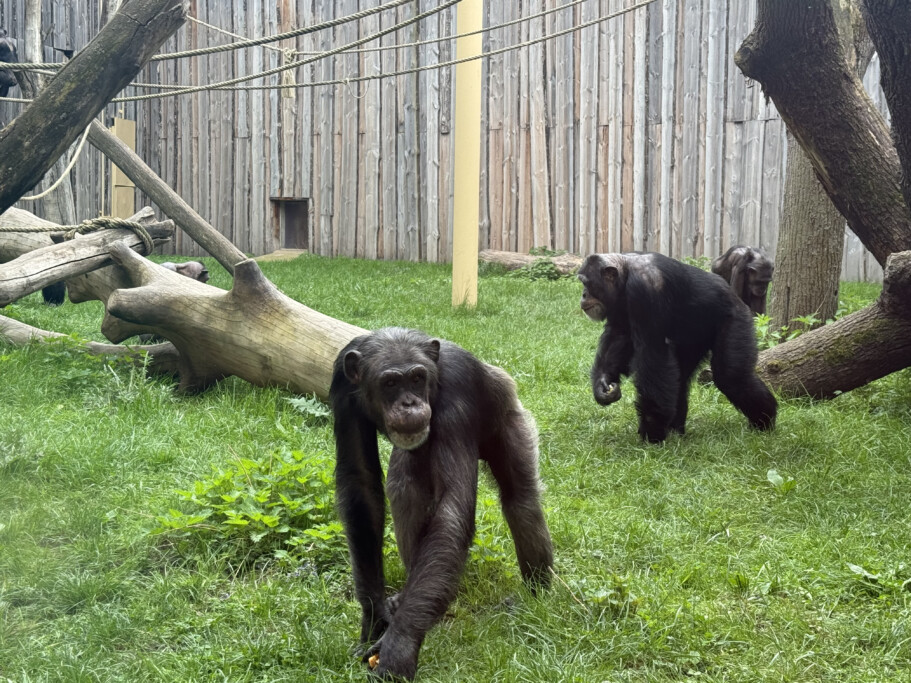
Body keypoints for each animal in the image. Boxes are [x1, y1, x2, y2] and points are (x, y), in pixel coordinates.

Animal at [580, 251, 780, 444]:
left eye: (587, 283)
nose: (583, 295)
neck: (626, 274)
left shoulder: (645, 292)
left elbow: (654, 356)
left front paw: (651, 432)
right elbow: (619, 335)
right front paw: (602, 385)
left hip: (737, 320)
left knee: (732, 377)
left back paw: (765, 421)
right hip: (692, 339)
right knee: (681, 378)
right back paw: (676, 431)